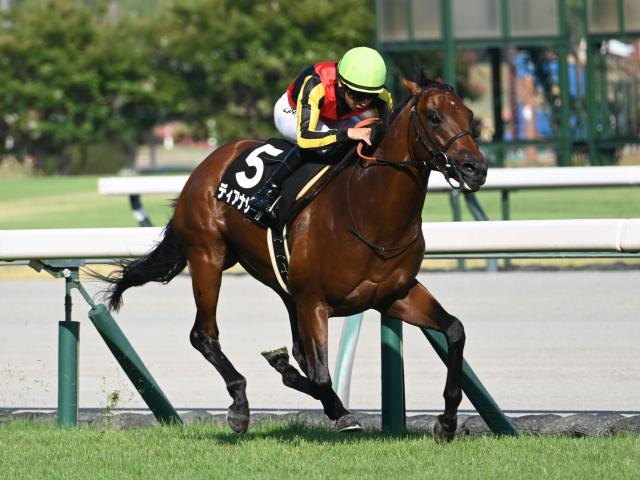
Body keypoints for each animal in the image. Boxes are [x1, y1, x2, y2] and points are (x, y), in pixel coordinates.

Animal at [99, 75, 487, 442]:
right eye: (434, 117)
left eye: (469, 115)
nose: (475, 168)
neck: (369, 212)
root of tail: (208, 163)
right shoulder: (314, 301)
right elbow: (320, 376)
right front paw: (328, 404)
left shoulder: (393, 294)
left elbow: (455, 329)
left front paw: (447, 422)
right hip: (208, 256)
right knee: (203, 335)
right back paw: (240, 405)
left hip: (280, 284)